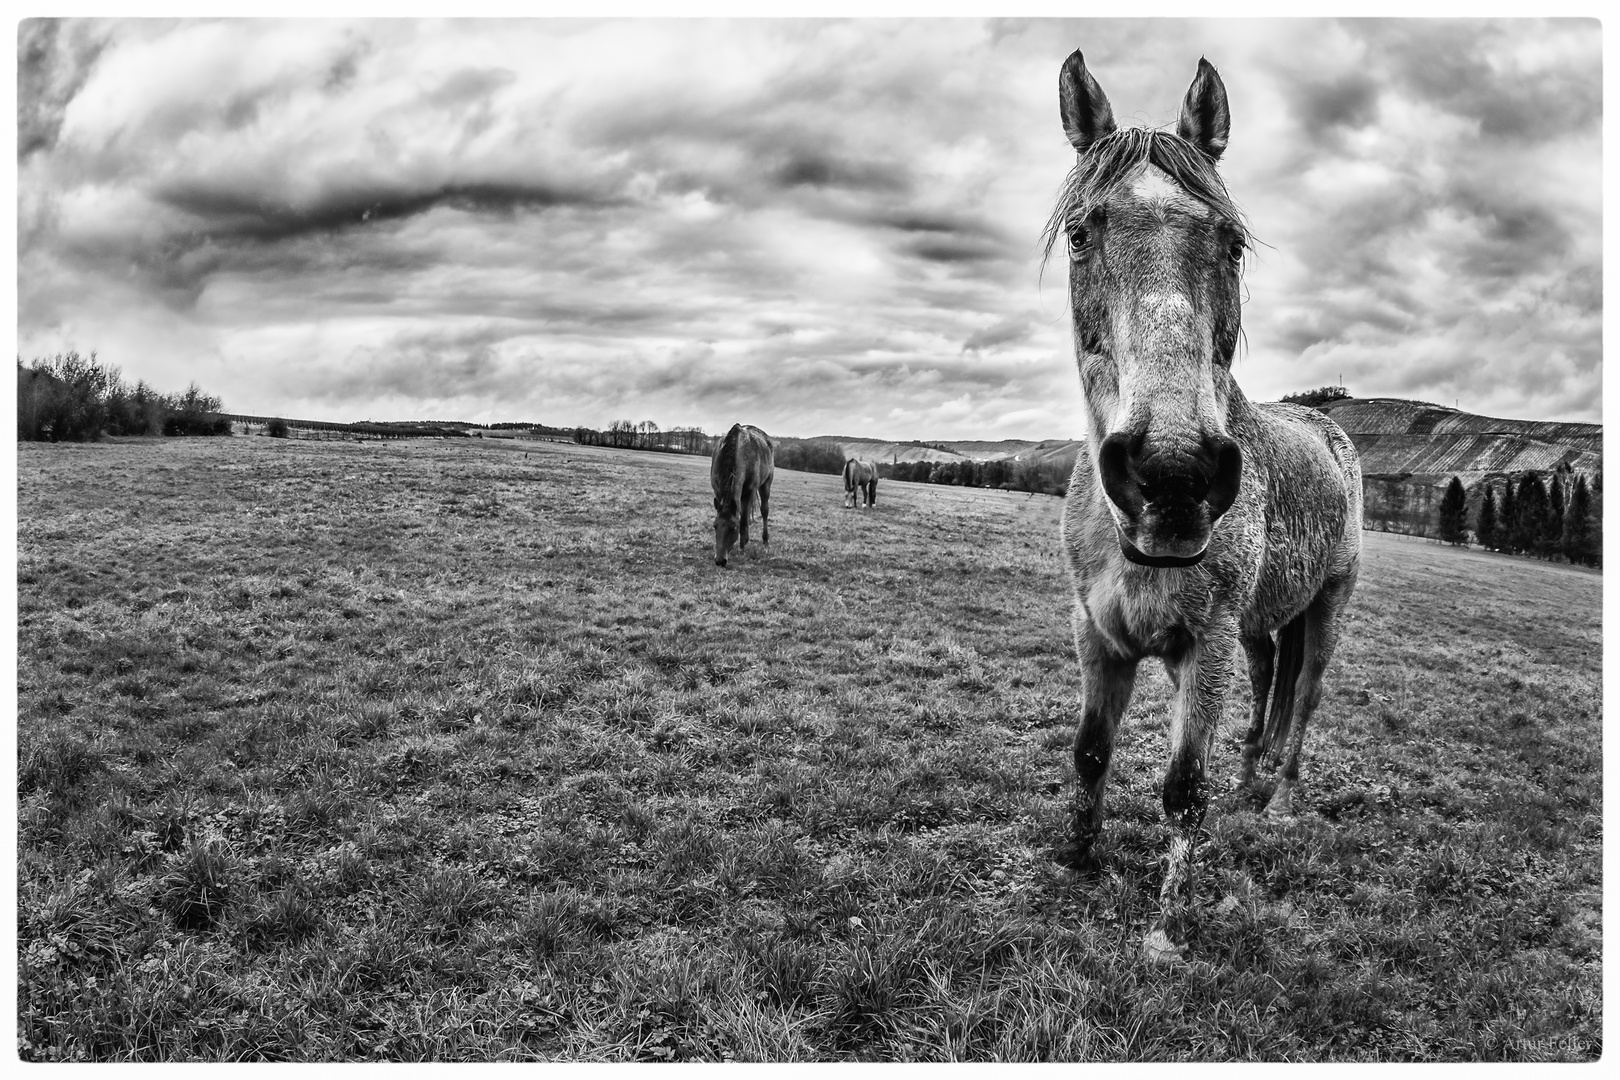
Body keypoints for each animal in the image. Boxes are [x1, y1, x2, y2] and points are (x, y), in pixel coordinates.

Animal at [706, 420, 774, 566]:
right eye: (715, 526)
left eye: (733, 528)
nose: (720, 560)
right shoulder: (718, 491)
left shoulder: (749, 492)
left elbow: (743, 521)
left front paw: (742, 548)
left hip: (766, 484)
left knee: (764, 511)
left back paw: (765, 542)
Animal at [1049, 52, 1367, 965]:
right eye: (1082, 233)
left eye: (1230, 241)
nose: (1173, 472)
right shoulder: (1098, 633)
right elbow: (1091, 752)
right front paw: (1077, 855)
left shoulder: (1208, 646)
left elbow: (1181, 787)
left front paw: (1166, 926)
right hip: (1263, 629)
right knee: (1266, 697)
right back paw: (1247, 786)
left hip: (1324, 609)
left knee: (1304, 699)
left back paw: (1281, 800)